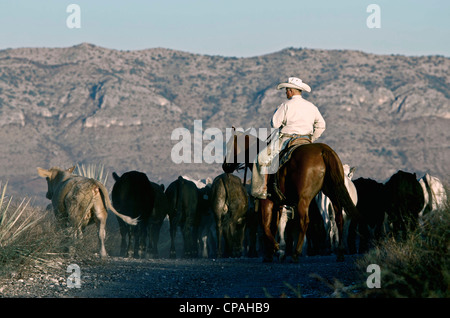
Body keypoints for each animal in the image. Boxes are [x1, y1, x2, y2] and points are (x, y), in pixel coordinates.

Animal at [222, 130, 358, 262]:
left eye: (229, 146)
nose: (224, 166)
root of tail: (323, 150)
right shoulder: (278, 204)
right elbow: (274, 226)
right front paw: (272, 253)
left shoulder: (266, 201)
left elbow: (265, 225)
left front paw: (277, 251)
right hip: (332, 193)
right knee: (339, 218)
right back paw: (340, 253)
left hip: (304, 199)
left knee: (305, 221)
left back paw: (296, 254)